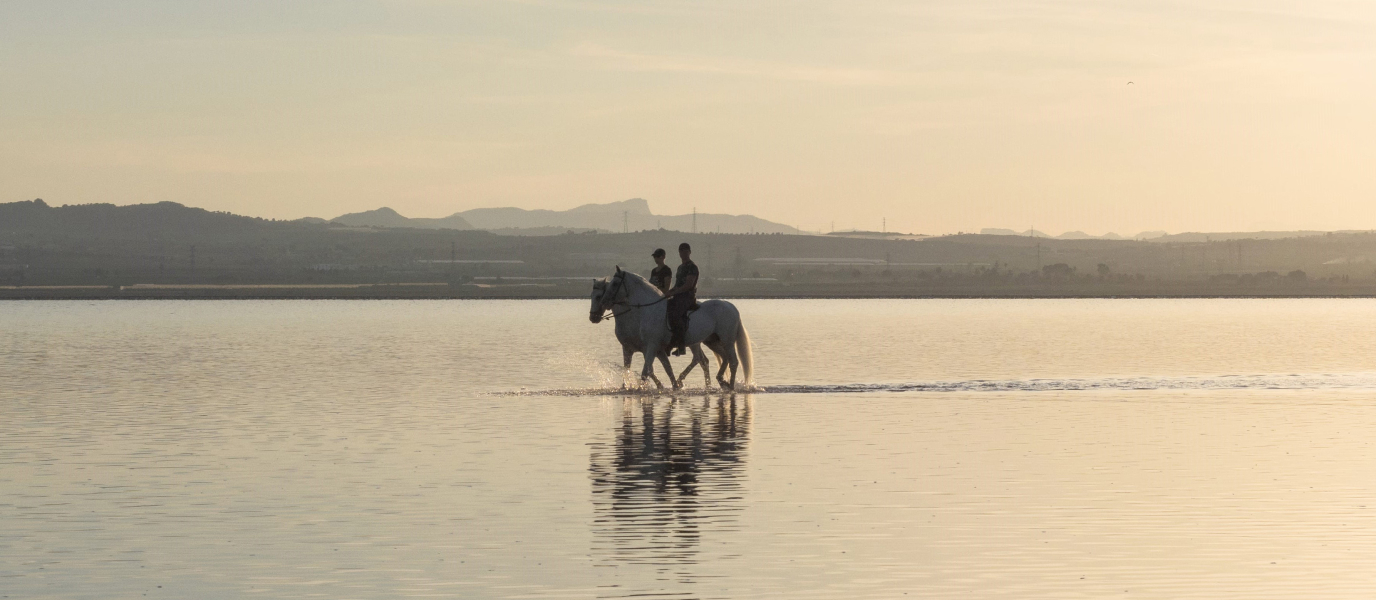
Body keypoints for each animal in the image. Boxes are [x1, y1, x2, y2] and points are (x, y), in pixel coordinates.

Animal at [583, 266, 754, 388]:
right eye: (593, 296)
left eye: (615, 284)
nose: (593, 316)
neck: (643, 311)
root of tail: (731, 306)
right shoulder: (634, 348)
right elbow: (657, 369)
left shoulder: (651, 347)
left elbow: (647, 371)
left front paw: (643, 389)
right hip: (711, 340)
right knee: (717, 359)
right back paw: (718, 381)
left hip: (726, 340)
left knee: (731, 361)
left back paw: (730, 386)